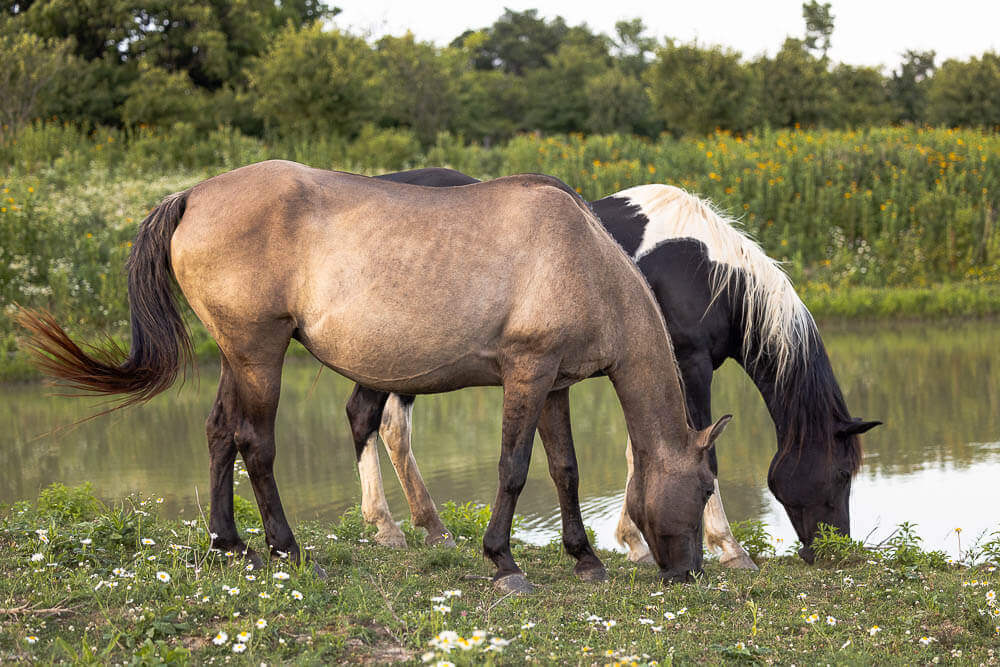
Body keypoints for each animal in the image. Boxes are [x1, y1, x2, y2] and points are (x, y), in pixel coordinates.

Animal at [16, 160, 730, 591]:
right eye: (702, 491)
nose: (688, 574)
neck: (584, 258)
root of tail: (192, 195)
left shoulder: (554, 382)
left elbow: (565, 469)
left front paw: (583, 557)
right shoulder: (527, 373)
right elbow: (513, 467)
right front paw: (502, 561)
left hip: (235, 355)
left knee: (220, 433)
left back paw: (229, 543)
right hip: (260, 353)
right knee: (254, 442)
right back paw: (286, 549)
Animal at [346, 168, 880, 565]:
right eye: (841, 474)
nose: (833, 550)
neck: (705, 273)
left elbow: (640, 449)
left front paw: (635, 539)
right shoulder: (689, 366)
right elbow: (702, 453)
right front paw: (728, 549)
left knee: (388, 424)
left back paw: (429, 528)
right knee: (368, 418)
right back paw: (388, 528)